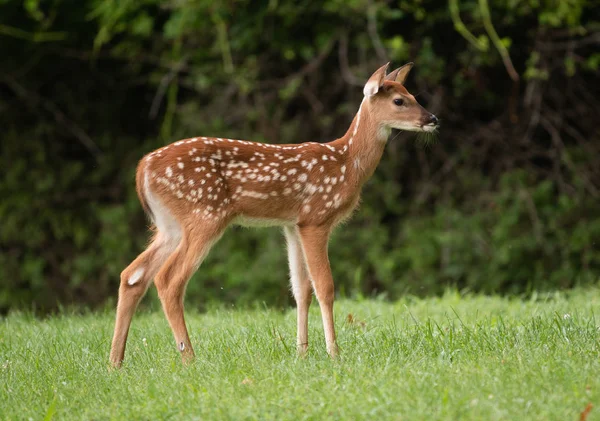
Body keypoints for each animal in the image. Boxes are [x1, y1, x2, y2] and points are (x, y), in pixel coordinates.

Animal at [109, 62, 436, 368]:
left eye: (413, 95)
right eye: (399, 101)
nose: (433, 119)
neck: (346, 163)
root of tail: (143, 168)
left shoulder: (292, 224)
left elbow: (301, 289)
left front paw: (302, 354)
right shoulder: (315, 218)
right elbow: (325, 287)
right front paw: (334, 354)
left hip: (169, 225)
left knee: (132, 275)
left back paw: (115, 363)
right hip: (205, 214)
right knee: (168, 279)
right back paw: (189, 358)